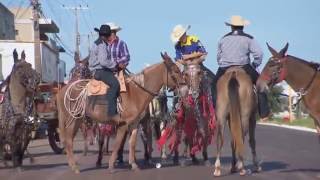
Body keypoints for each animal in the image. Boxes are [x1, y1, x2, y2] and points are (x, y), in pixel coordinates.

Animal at [56, 52, 184, 174]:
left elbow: (132, 143)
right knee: (68, 140)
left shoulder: (134, 124)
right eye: (176, 70)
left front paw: (134, 164)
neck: (136, 92)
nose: (184, 88)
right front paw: (111, 166)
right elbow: (117, 144)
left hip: (77, 119)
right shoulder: (123, 124)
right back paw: (75, 167)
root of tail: (63, 91)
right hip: (72, 119)